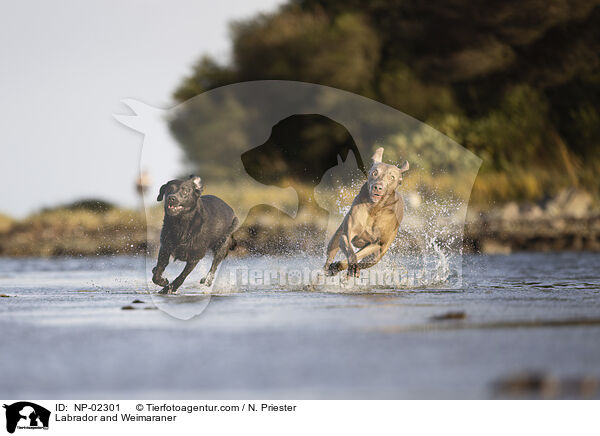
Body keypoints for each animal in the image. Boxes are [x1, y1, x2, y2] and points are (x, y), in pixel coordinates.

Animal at [324, 146, 408, 276]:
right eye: (375, 173)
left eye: (392, 177)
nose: (377, 187)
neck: (374, 209)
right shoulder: (346, 234)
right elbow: (351, 252)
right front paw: (349, 265)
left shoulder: (376, 244)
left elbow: (357, 256)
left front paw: (342, 266)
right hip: (335, 239)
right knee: (329, 258)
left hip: (377, 255)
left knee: (366, 261)